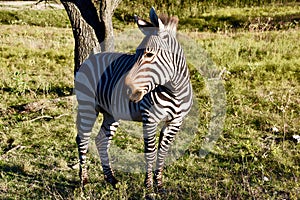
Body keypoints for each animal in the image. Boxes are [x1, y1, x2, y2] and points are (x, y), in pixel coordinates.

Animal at [74, 7, 192, 191]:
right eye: (135, 54)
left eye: (149, 54)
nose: (127, 89)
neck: (175, 90)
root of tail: (92, 57)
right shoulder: (150, 119)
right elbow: (150, 152)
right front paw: (149, 187)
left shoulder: (175, 122)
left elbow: (163, 152)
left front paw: (159, 185)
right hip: (87, 106)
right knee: (82, 138)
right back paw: (84, 181)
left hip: (111, 113)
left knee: (101, 140)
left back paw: (111, 179)